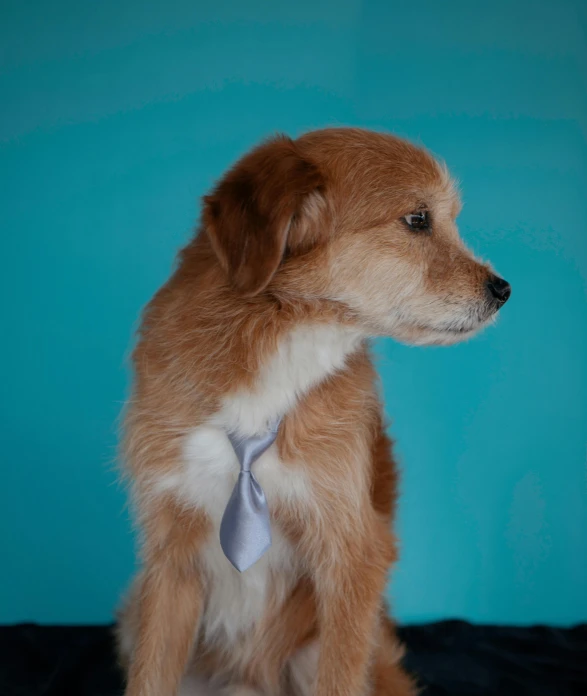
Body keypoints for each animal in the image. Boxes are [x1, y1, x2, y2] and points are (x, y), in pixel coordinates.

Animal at [117, 126, 512, 696]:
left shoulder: (352, 552)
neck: (281, 336)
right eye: (418, 219)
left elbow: (340, 678)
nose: (503, 289)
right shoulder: (172, 553)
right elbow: (150, 677)